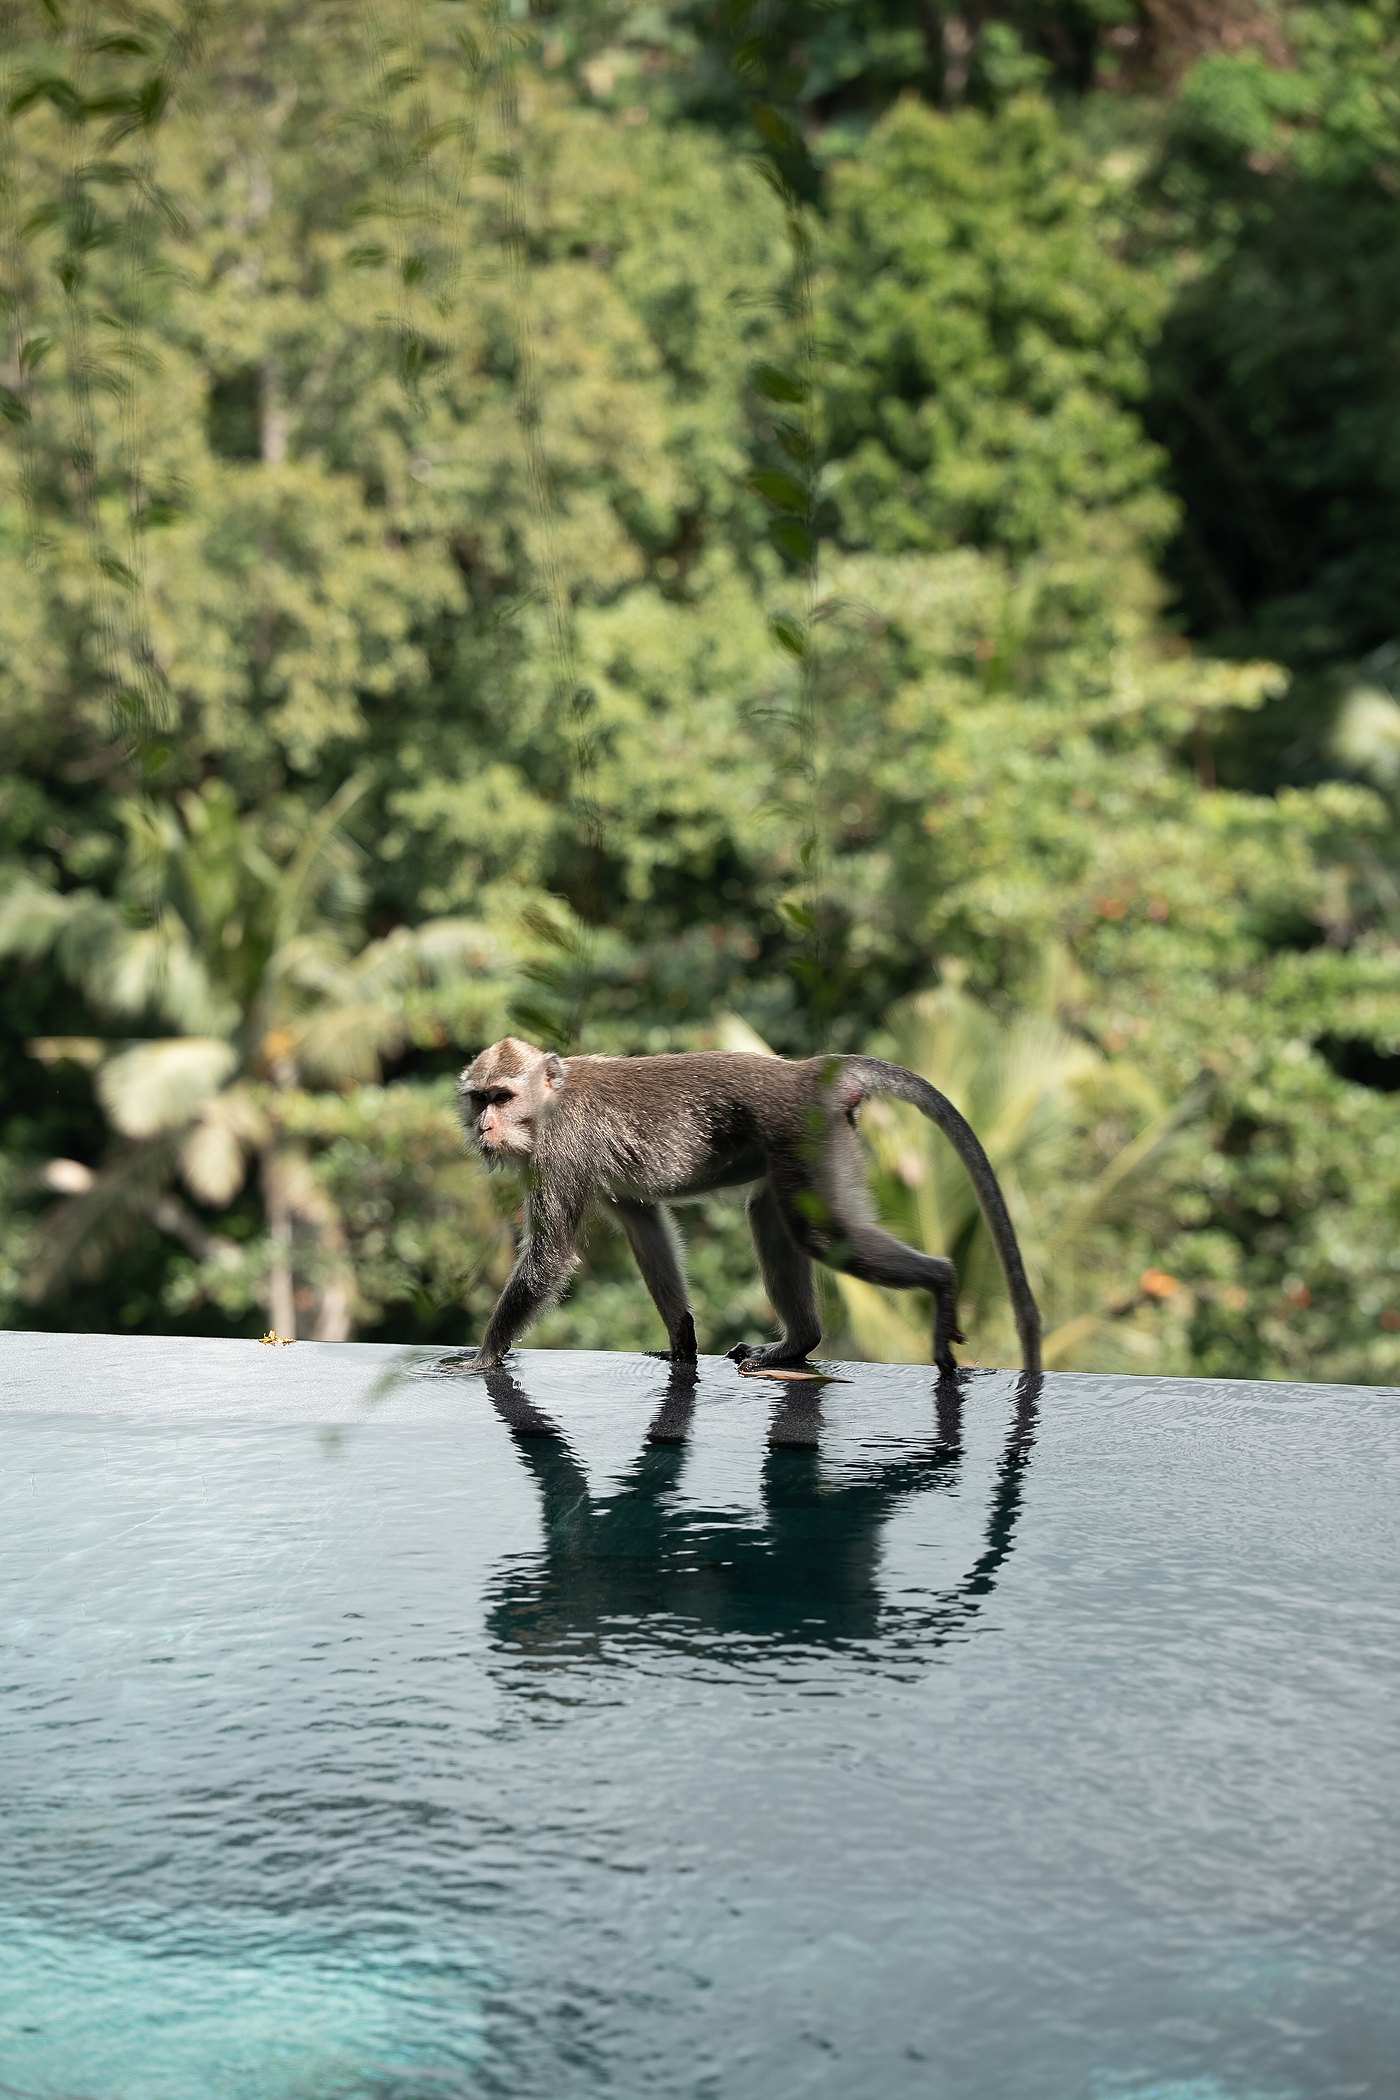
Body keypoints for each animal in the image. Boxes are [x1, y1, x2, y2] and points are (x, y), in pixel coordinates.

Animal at [456, 1036, 1041, 1377]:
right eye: (479, 1098)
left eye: (503, 1097)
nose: (484, 1126)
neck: (551, 1100)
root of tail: (808, 1074)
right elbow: (643, 1222)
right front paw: (681, 1338)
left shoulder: (559, 1151)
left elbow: (551, 1256)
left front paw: (483, 1357)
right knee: (771, 1215)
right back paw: (798, 1344)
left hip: (805, 1136)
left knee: (819, 1234)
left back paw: (941, 1280)